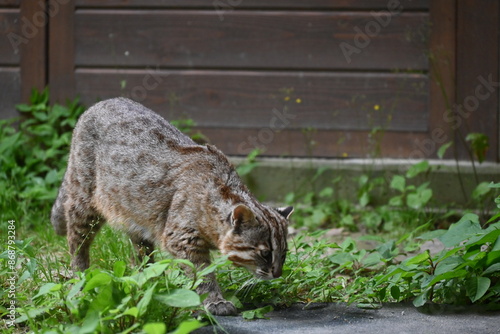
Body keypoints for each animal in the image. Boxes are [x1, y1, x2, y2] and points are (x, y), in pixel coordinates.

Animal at [50, 98, 292, 316]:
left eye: (284, 254)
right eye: (265, 253)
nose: (278, 274)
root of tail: (98, 104)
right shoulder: (183, 239)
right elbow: (202, 274)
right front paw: (214, 300)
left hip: (136, 215)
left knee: (140, 255)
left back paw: (148, 282)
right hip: (84, 203)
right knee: (76, 242)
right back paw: (81, 276)